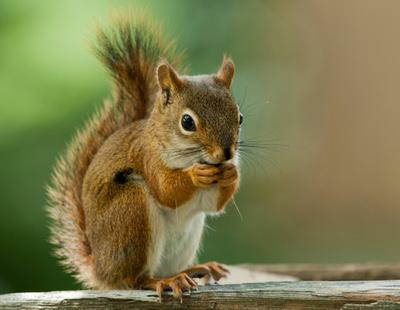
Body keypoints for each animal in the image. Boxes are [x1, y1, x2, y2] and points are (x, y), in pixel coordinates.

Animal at [47, 12, 241, 300]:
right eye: (187, 122)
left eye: (240, 117)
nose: (226, 153)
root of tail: (101, 270)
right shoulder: (147, 157)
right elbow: (166, 190)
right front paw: (196, 174)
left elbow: (213, 205)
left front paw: (232, 173)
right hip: (131, 212)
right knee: (135, 280)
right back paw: (165, 281)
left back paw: (195, 269)